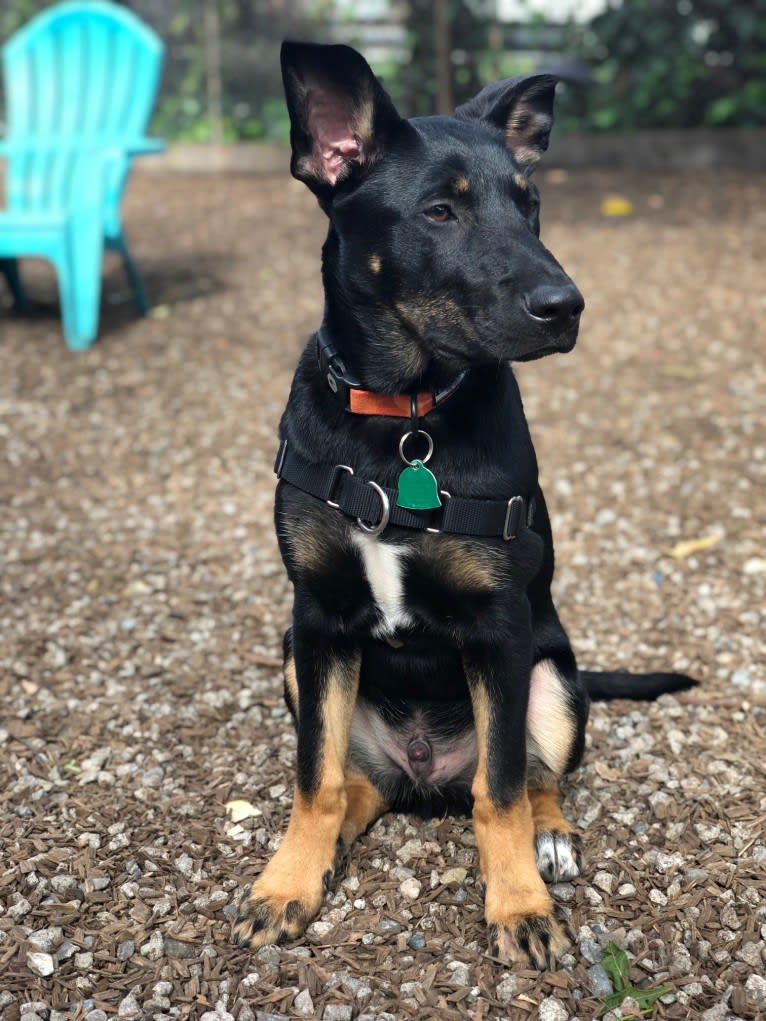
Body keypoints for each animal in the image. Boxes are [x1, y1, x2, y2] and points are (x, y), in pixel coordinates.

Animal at [233, 39, 694, 963]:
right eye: (440, 212)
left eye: (531, 206)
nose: (567, 307)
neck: (404, 419)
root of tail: (422, 775)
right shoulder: (316, 616)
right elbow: (313, 778)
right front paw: (289, 880)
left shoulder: (501, 629)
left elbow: (503, 787)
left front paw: (518, 904)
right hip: (301, 666)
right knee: (355, 784)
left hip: (554, 679)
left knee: (532, 774)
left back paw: (549, 841)